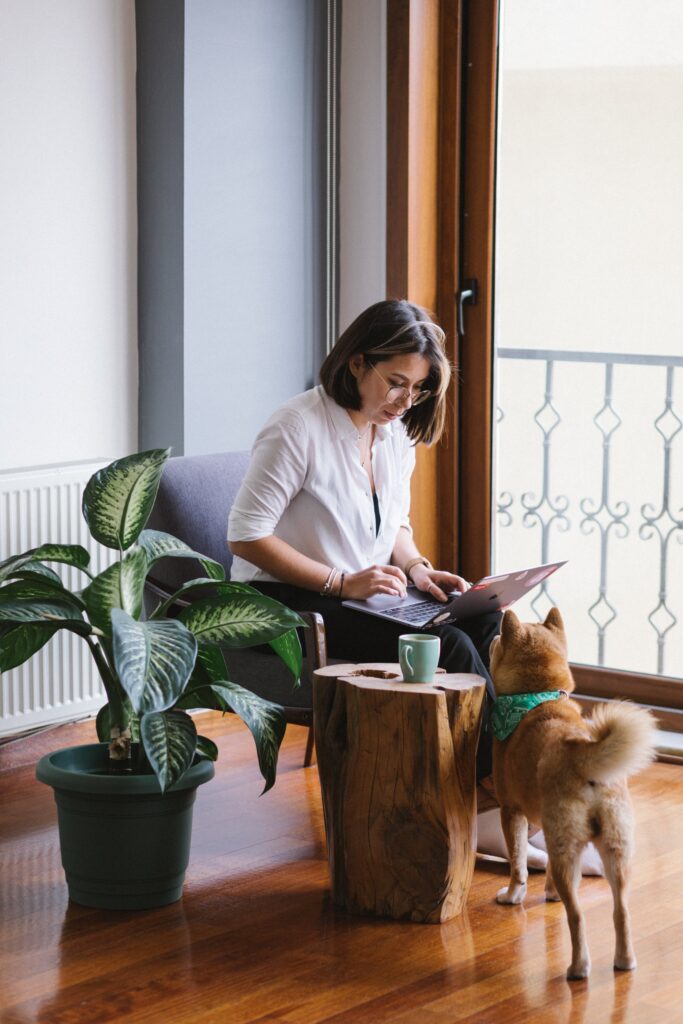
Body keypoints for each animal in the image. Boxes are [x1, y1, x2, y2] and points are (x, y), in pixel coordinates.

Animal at [489, 606, 655, 974]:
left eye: (497, 640)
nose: (492, 636)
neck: (538, 698)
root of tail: (583, 757)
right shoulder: (547, 831)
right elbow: (547, 867)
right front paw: (549, 892)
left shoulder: (511, 812)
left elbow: (518, 864)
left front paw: (512, 896)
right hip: (616, 853)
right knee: (621, 911)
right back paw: (625, 961)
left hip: (570, 848)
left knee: (577, 917)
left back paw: (578, 968)